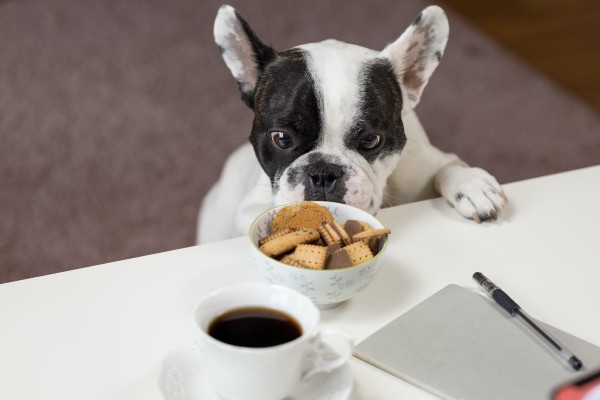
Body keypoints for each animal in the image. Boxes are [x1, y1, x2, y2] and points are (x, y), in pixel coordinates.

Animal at [198, 5, 506, 244]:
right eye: (281, 139)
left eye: (370, 141)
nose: (323, 172)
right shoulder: (249, 207)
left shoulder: (426, 163)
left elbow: (448, 166)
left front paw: (472, 185)